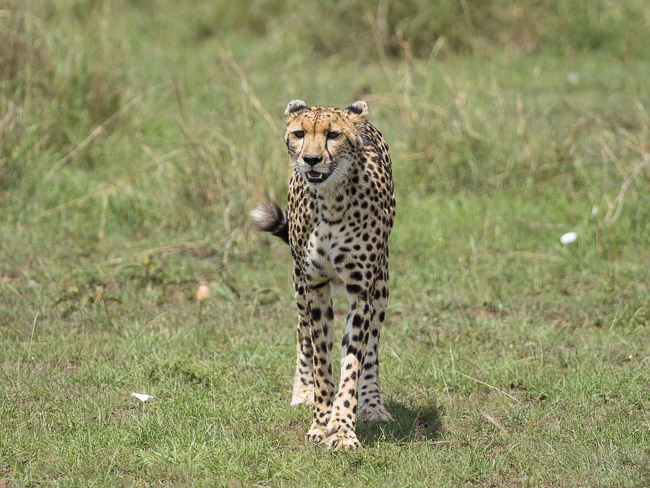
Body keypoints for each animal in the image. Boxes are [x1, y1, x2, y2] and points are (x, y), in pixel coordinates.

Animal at [251, 100, 395, 449]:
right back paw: (302, 392)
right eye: (299, 133)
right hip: (298, 283)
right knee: (301, 332)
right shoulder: (314, 285)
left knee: (372, 348)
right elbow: (321, 361)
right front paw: (320, 422)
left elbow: (353, 362)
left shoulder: (361, 291)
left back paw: (372, 405)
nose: (312, 159)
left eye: (333, 134)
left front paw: (342, 428)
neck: (331, 200)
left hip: (381, 285)